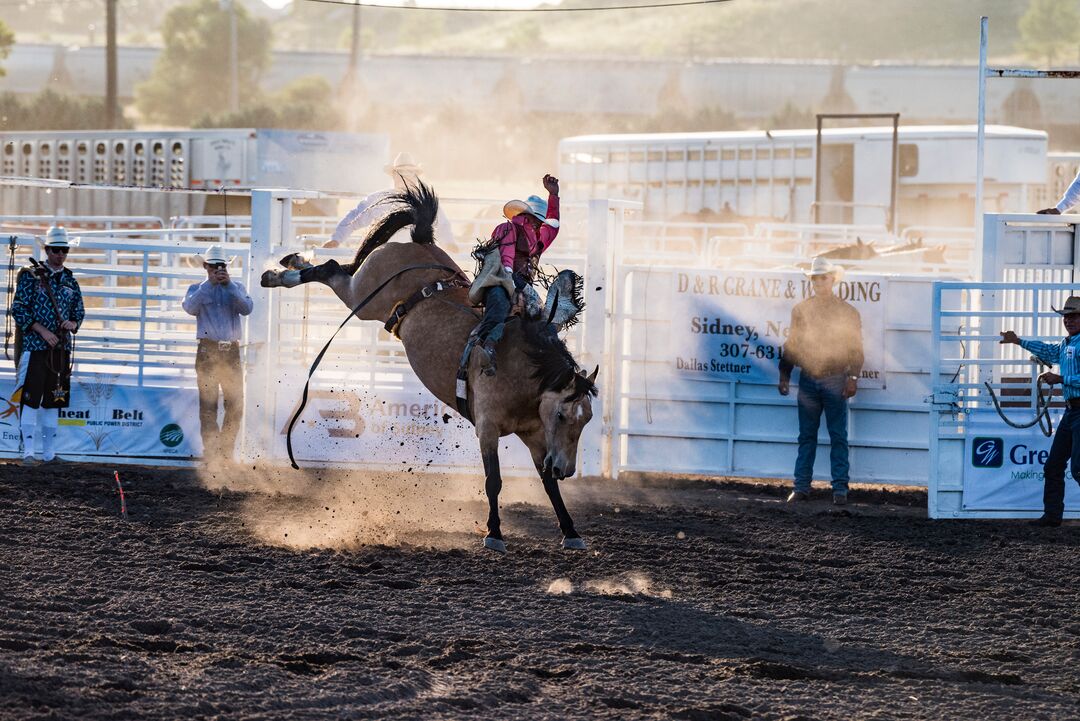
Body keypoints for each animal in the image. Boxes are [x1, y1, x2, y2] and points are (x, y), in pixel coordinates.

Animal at [261, 183, 600, 556]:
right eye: (562, 415)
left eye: (586, 419)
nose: (566, 469)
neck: (523, 371)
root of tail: (419, 239)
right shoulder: (487, 428)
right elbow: (493, 480)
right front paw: (494, 533)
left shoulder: (536, 435)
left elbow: (547, 483)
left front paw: (571, 531)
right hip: (363, 297)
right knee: (333, 270)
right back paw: (278, 275)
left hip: (364, 292)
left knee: (342, 267)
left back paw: (290, 261)